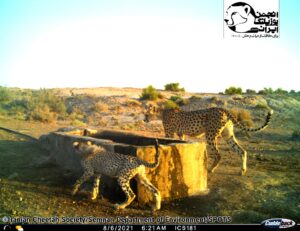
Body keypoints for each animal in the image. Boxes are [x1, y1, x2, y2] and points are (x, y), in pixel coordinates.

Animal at [144, 105, 274, 176]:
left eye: (146, 114)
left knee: (218, 154)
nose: (144, 119)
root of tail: (222, 109)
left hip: (210, 135)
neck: (161, 112)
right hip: (227, 135)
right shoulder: (181, 134)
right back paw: (242, 171)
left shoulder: (169, 133)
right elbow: (180, 144)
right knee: (242, 151)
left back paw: (210, 169)